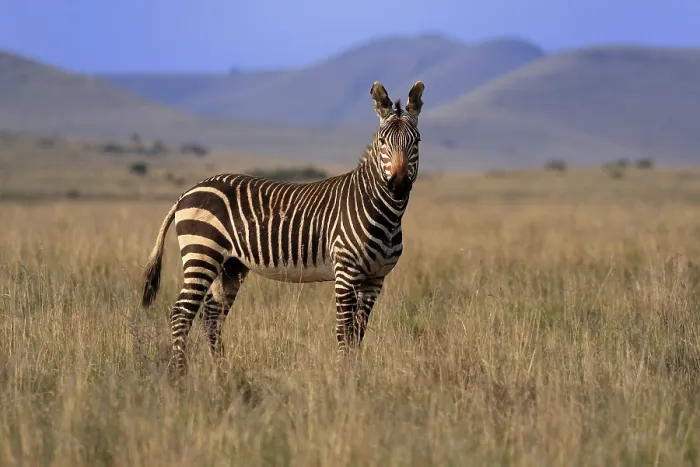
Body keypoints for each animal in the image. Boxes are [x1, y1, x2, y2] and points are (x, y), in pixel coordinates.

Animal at [140, 80, 425, 376]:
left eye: (416, 141)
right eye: (382, 141)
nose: (399, 185)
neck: (382, 211)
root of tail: (187, 192)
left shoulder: (375, 279)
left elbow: (358, 331)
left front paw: (355, 372)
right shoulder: (346, 273)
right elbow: (343, 330)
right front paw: (344, 375)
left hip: (230, 265)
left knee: (211, 312)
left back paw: (221, 369)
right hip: (202, 253)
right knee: (181, 312)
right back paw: (180, 373)